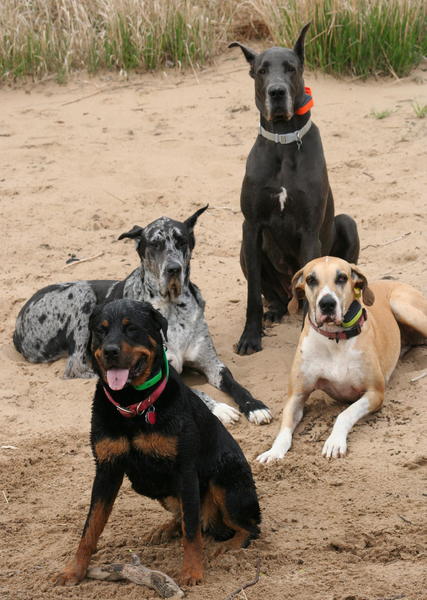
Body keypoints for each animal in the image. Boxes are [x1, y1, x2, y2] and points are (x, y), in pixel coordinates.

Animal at [15, 209, 272, 424]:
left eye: (181, 241)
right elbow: (197, 392)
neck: (173, 307)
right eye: (155, 244)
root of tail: (17, 326)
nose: (173, 269)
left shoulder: (213, 364)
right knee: (75, 366)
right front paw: (219, 408)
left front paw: (254, 406)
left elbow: (236, 385)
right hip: (82, 294)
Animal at [53, 300, 260, 584]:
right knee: (188, 516)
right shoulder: (107, 469)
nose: (110, 351)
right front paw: (75, 569)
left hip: (225, 481)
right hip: (153, 485)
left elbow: (191, 531)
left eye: (132, 328)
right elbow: (91, 527)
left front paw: (192, 571)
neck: (133, 404)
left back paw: (228, 546)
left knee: (248, 527)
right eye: (100, 330)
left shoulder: (185, 469)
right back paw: (165, 529)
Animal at [231, 24, 362, 356]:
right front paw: (250, 336)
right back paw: (276, 310)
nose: (276, 92)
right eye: (262, 70)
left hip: (348, 222)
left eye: (290, 68)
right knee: (272, 295)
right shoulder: (251, 226)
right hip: (245, 248)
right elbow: (252, 294)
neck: (283, 140)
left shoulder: (309, 230)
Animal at [258, 255, 427, 462]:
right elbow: (284, 429)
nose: (327, 304)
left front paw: (334, 441)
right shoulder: (296, 395)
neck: (335, 338)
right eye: (310, 279)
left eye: (342, 278)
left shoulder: (375, 393)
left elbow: (345, 414)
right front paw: (274, 452)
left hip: (403, 306)